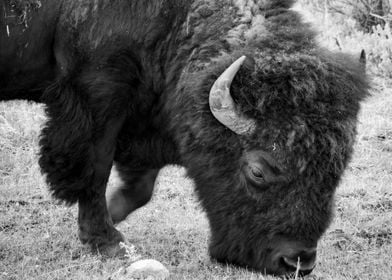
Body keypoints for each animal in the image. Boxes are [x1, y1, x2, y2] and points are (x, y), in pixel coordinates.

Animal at [0, 0, 370, 276]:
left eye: (338, 169)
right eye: (257, 171)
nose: (296, 262)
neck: (178, 19)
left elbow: (140, 188)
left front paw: (112, 216)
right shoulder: (98, 94)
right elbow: (95, 167)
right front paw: (108, 241)